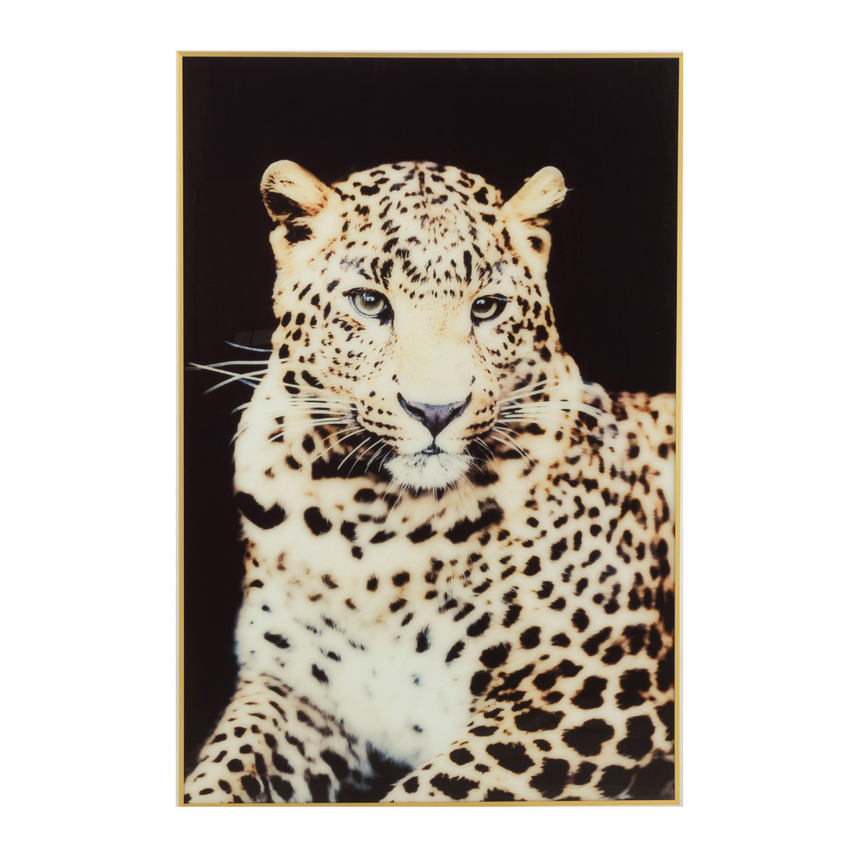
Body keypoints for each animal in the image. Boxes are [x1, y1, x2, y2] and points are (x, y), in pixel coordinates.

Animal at [183, 159, 676, 804]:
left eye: (487, 307)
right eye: (370, 302)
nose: (436, 410)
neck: (373, 527)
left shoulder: (599, 693)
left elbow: (439, 787)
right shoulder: (293, 688)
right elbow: (223, 766)